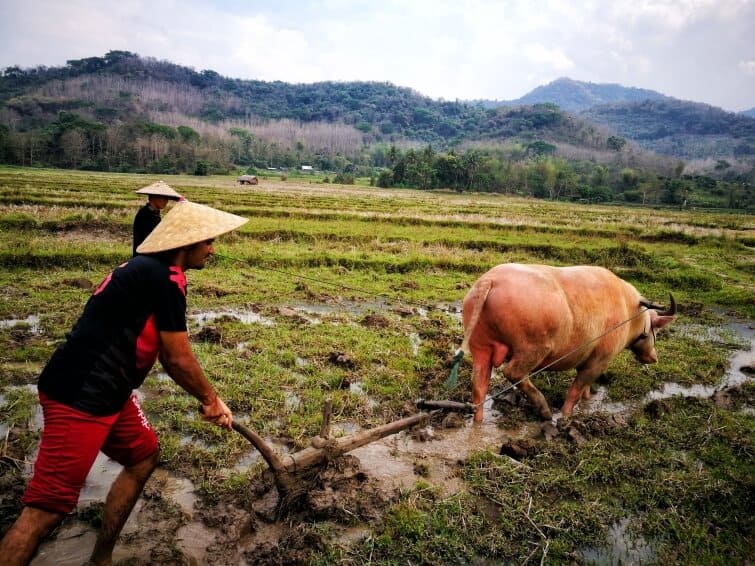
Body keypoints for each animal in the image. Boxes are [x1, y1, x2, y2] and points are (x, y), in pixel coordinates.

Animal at [460, 266, 680, 422]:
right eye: (655, 330)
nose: (654, 357)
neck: (629, 311)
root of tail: (490, 280)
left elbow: (585, 389)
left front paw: (588, 402)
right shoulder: (601, 359)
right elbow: (577, 387)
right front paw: (565, 416)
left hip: (480, 348)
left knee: (479, 385)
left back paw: (478, 420)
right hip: (533, 348)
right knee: (513, 373)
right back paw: (545, 410)